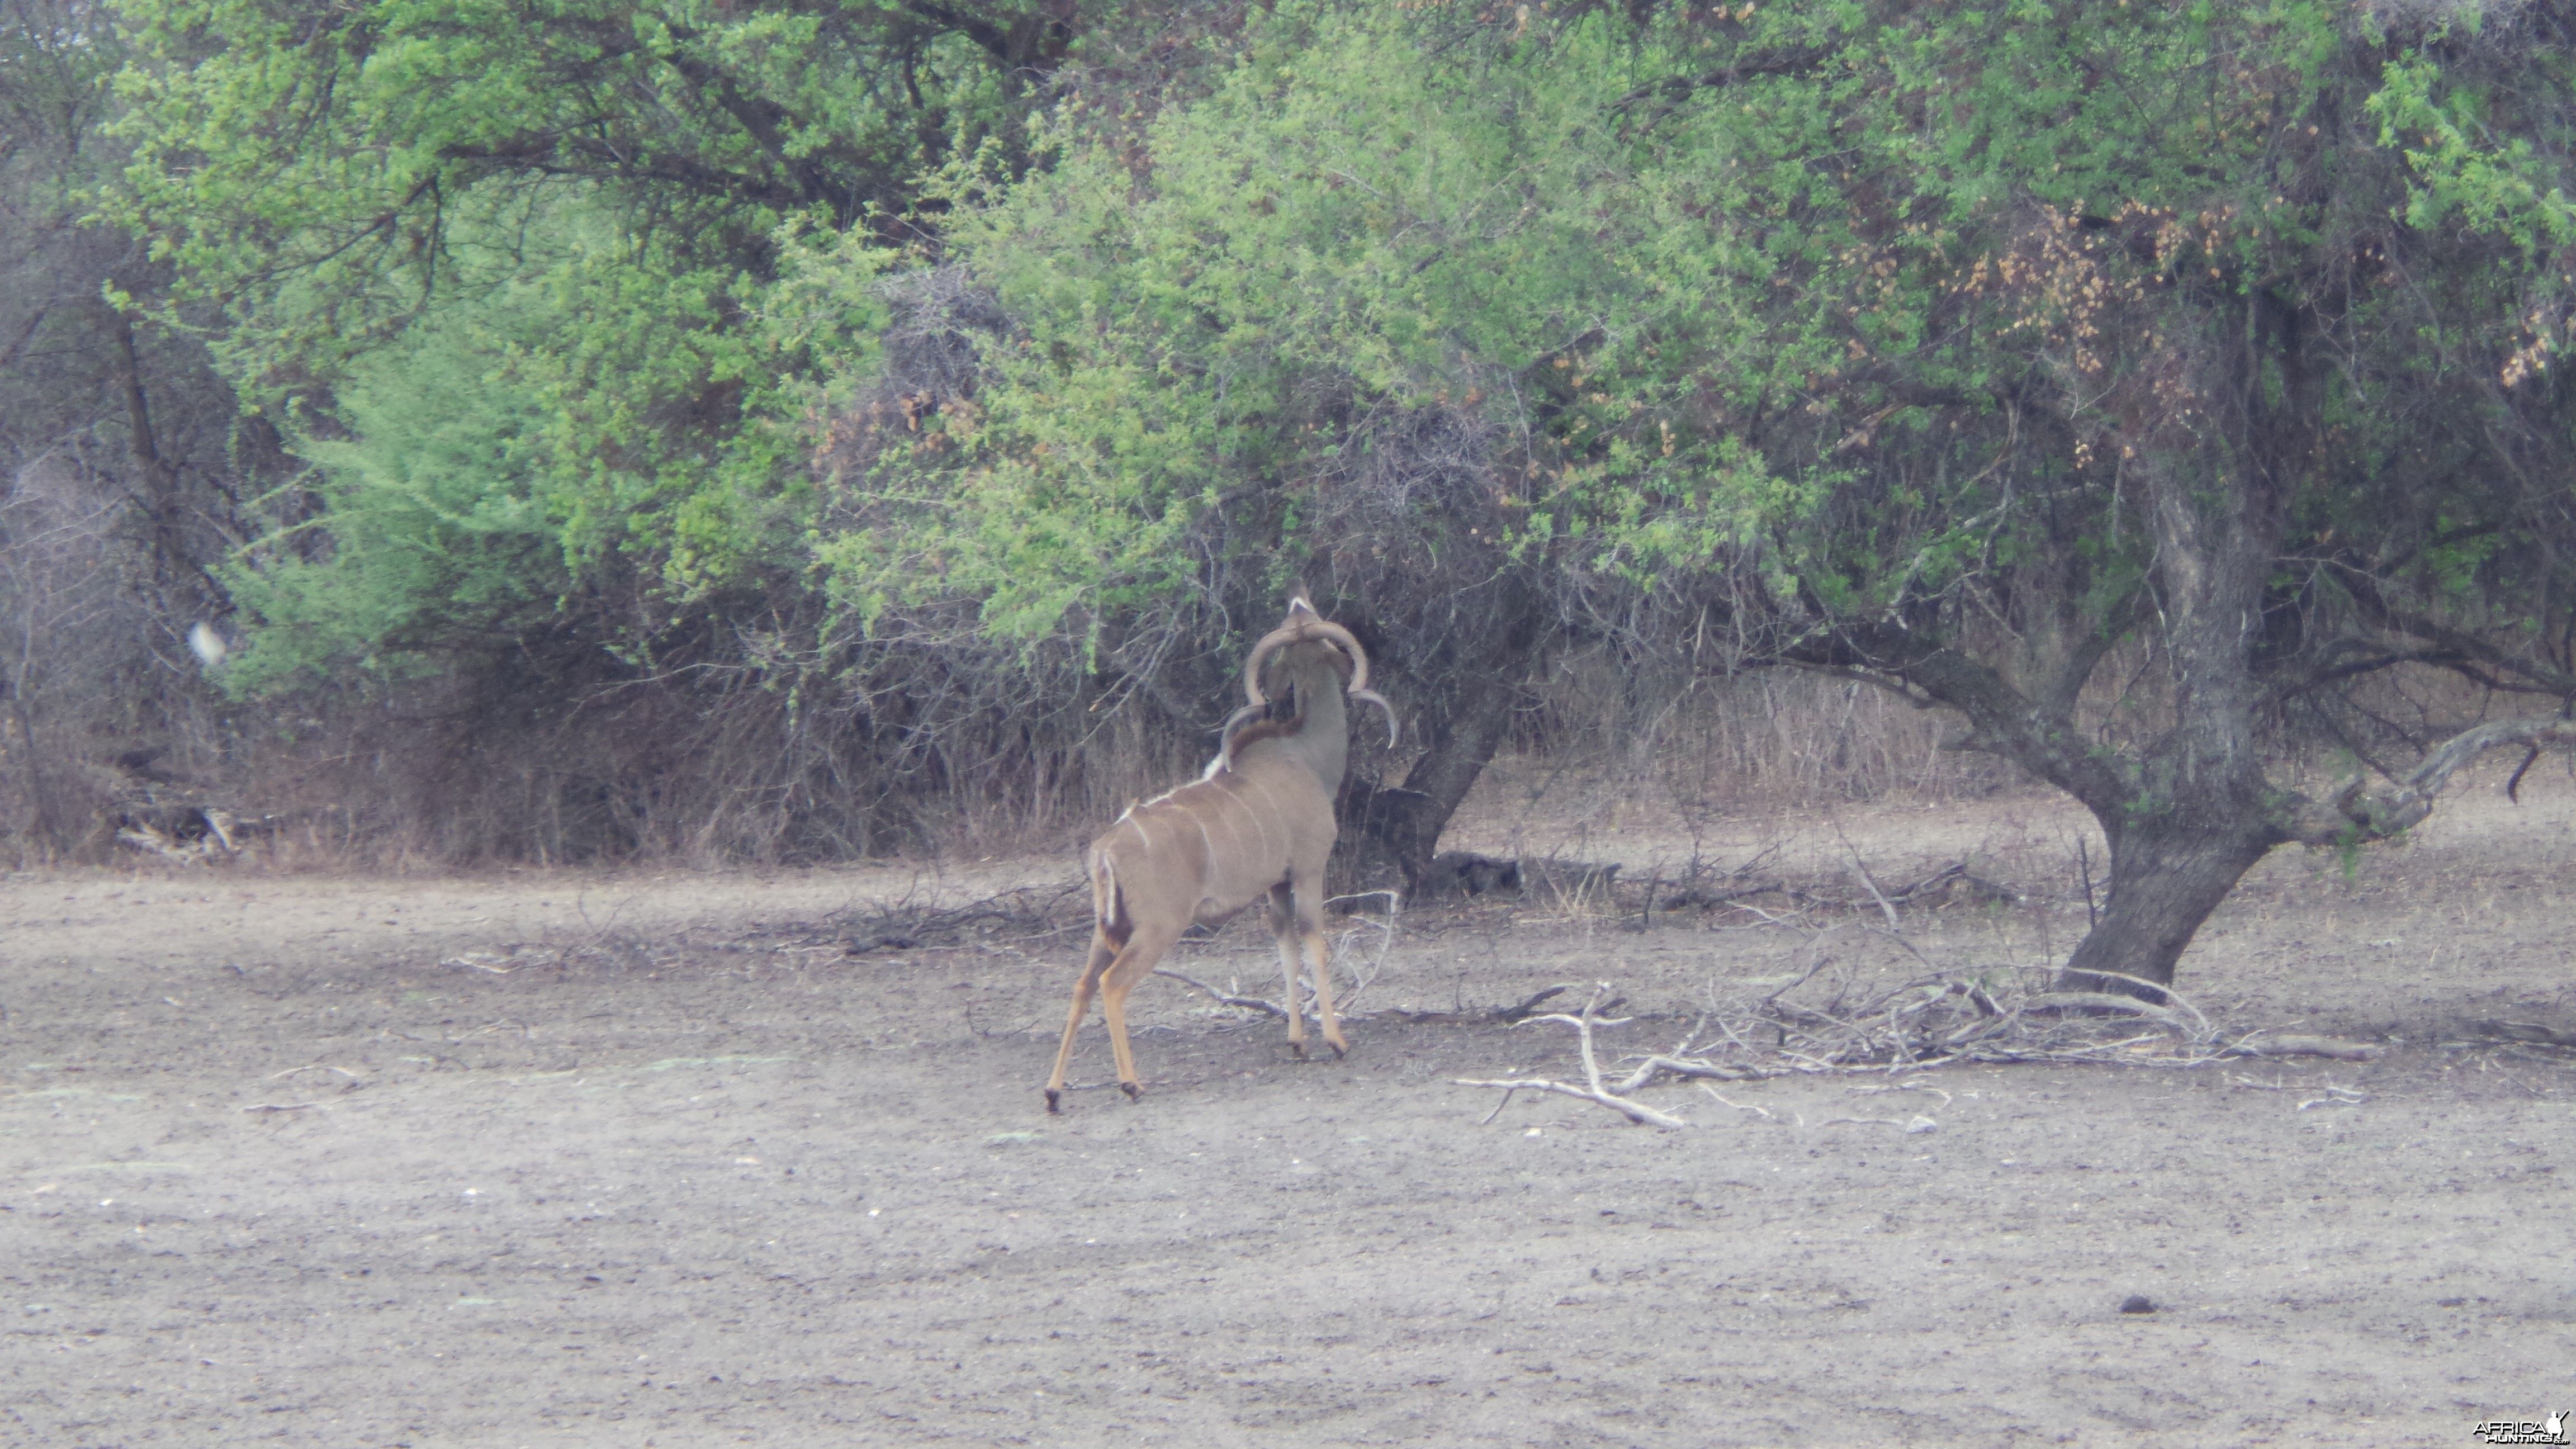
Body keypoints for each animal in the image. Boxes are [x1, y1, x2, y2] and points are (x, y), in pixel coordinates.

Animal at [1040, 593, 1401, 1109]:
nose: (1298, 600)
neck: (1305, 757)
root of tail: (1106, 850)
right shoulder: (1308, 869)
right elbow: (1314, 942)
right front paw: (1335, 1041)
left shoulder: (1276, 885)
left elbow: (1286, 947)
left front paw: (1297, 1043)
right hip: (1158, 928)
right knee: (1113, 985)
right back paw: (1131, 1083)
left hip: (1107, 931)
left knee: (1082, 986)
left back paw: (1053, 1093)